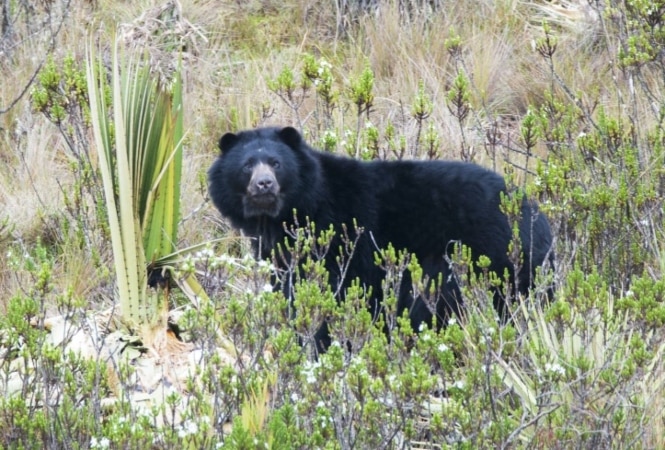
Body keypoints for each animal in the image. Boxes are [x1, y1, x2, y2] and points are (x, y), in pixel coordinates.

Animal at [206, 125, 548, 352]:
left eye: (276, 163)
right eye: (247, 165)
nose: (264, 184)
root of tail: (533, 212)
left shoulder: (337, 239)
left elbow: (331, 293)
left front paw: (319, 342)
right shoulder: (281, 252)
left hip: (487, 256)